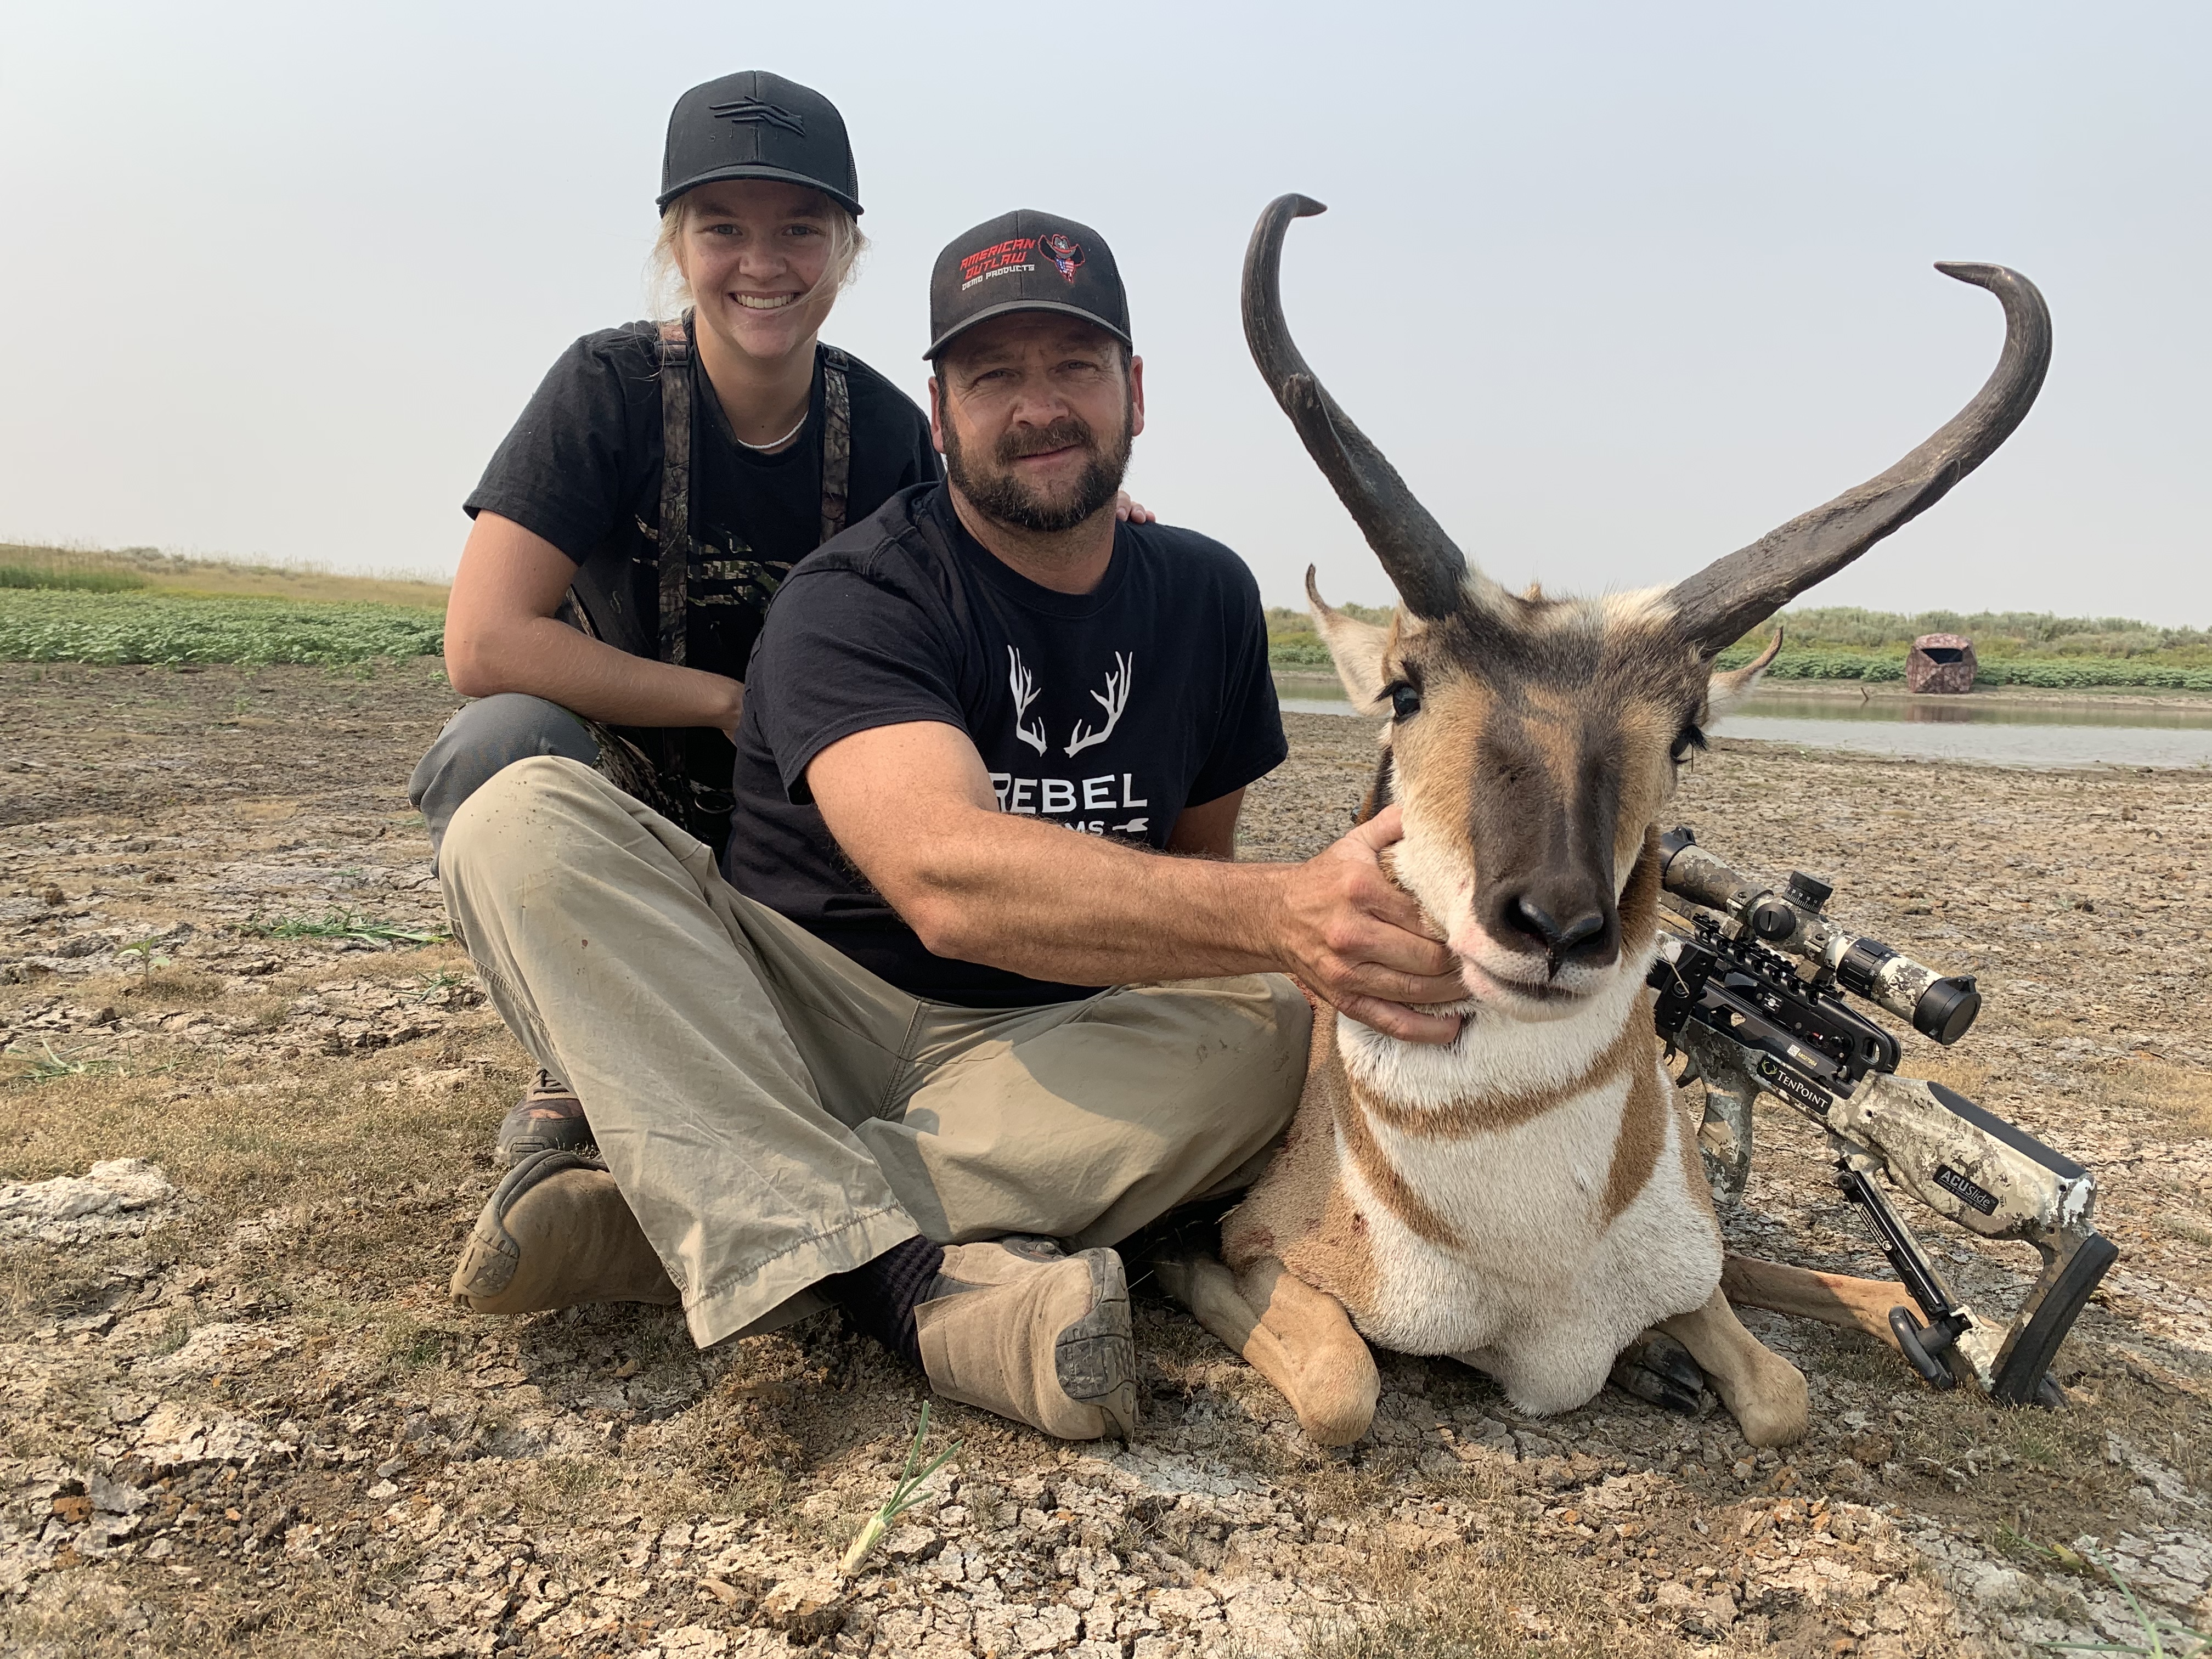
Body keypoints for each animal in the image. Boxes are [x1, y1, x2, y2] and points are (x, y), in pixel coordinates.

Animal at [1167, 188, 2044, 1451]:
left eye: (1684, 734)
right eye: (1403, 688)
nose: (1555, 926)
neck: (1532, 1267)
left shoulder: (1698, 1283)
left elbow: (1781, 1394)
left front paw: (1676, 1360)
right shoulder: (1257, 1255)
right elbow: (1343, 1385)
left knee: (1835, 1285)